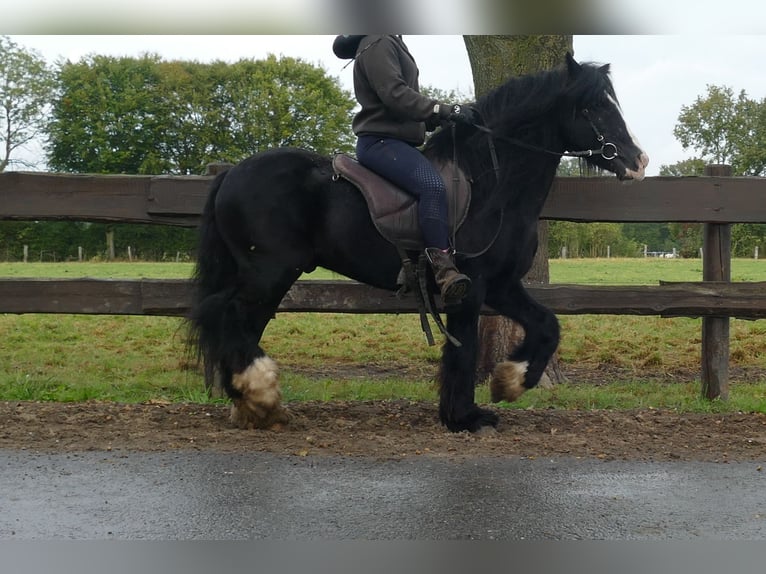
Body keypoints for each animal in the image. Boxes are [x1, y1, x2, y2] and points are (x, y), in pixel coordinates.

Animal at [188, 54, 648, 434]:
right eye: (594, 107)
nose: (637, 161)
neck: (491, 184)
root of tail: (231, 173)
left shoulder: (502, 285)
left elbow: (547, 325)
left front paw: (511, 382)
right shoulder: (471, 288)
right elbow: (464, 350)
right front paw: (465, 417)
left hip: (267, 276)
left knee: (239, 323)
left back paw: (252, 404)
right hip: (269, 271)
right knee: (226, 315)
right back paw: (261, 392)